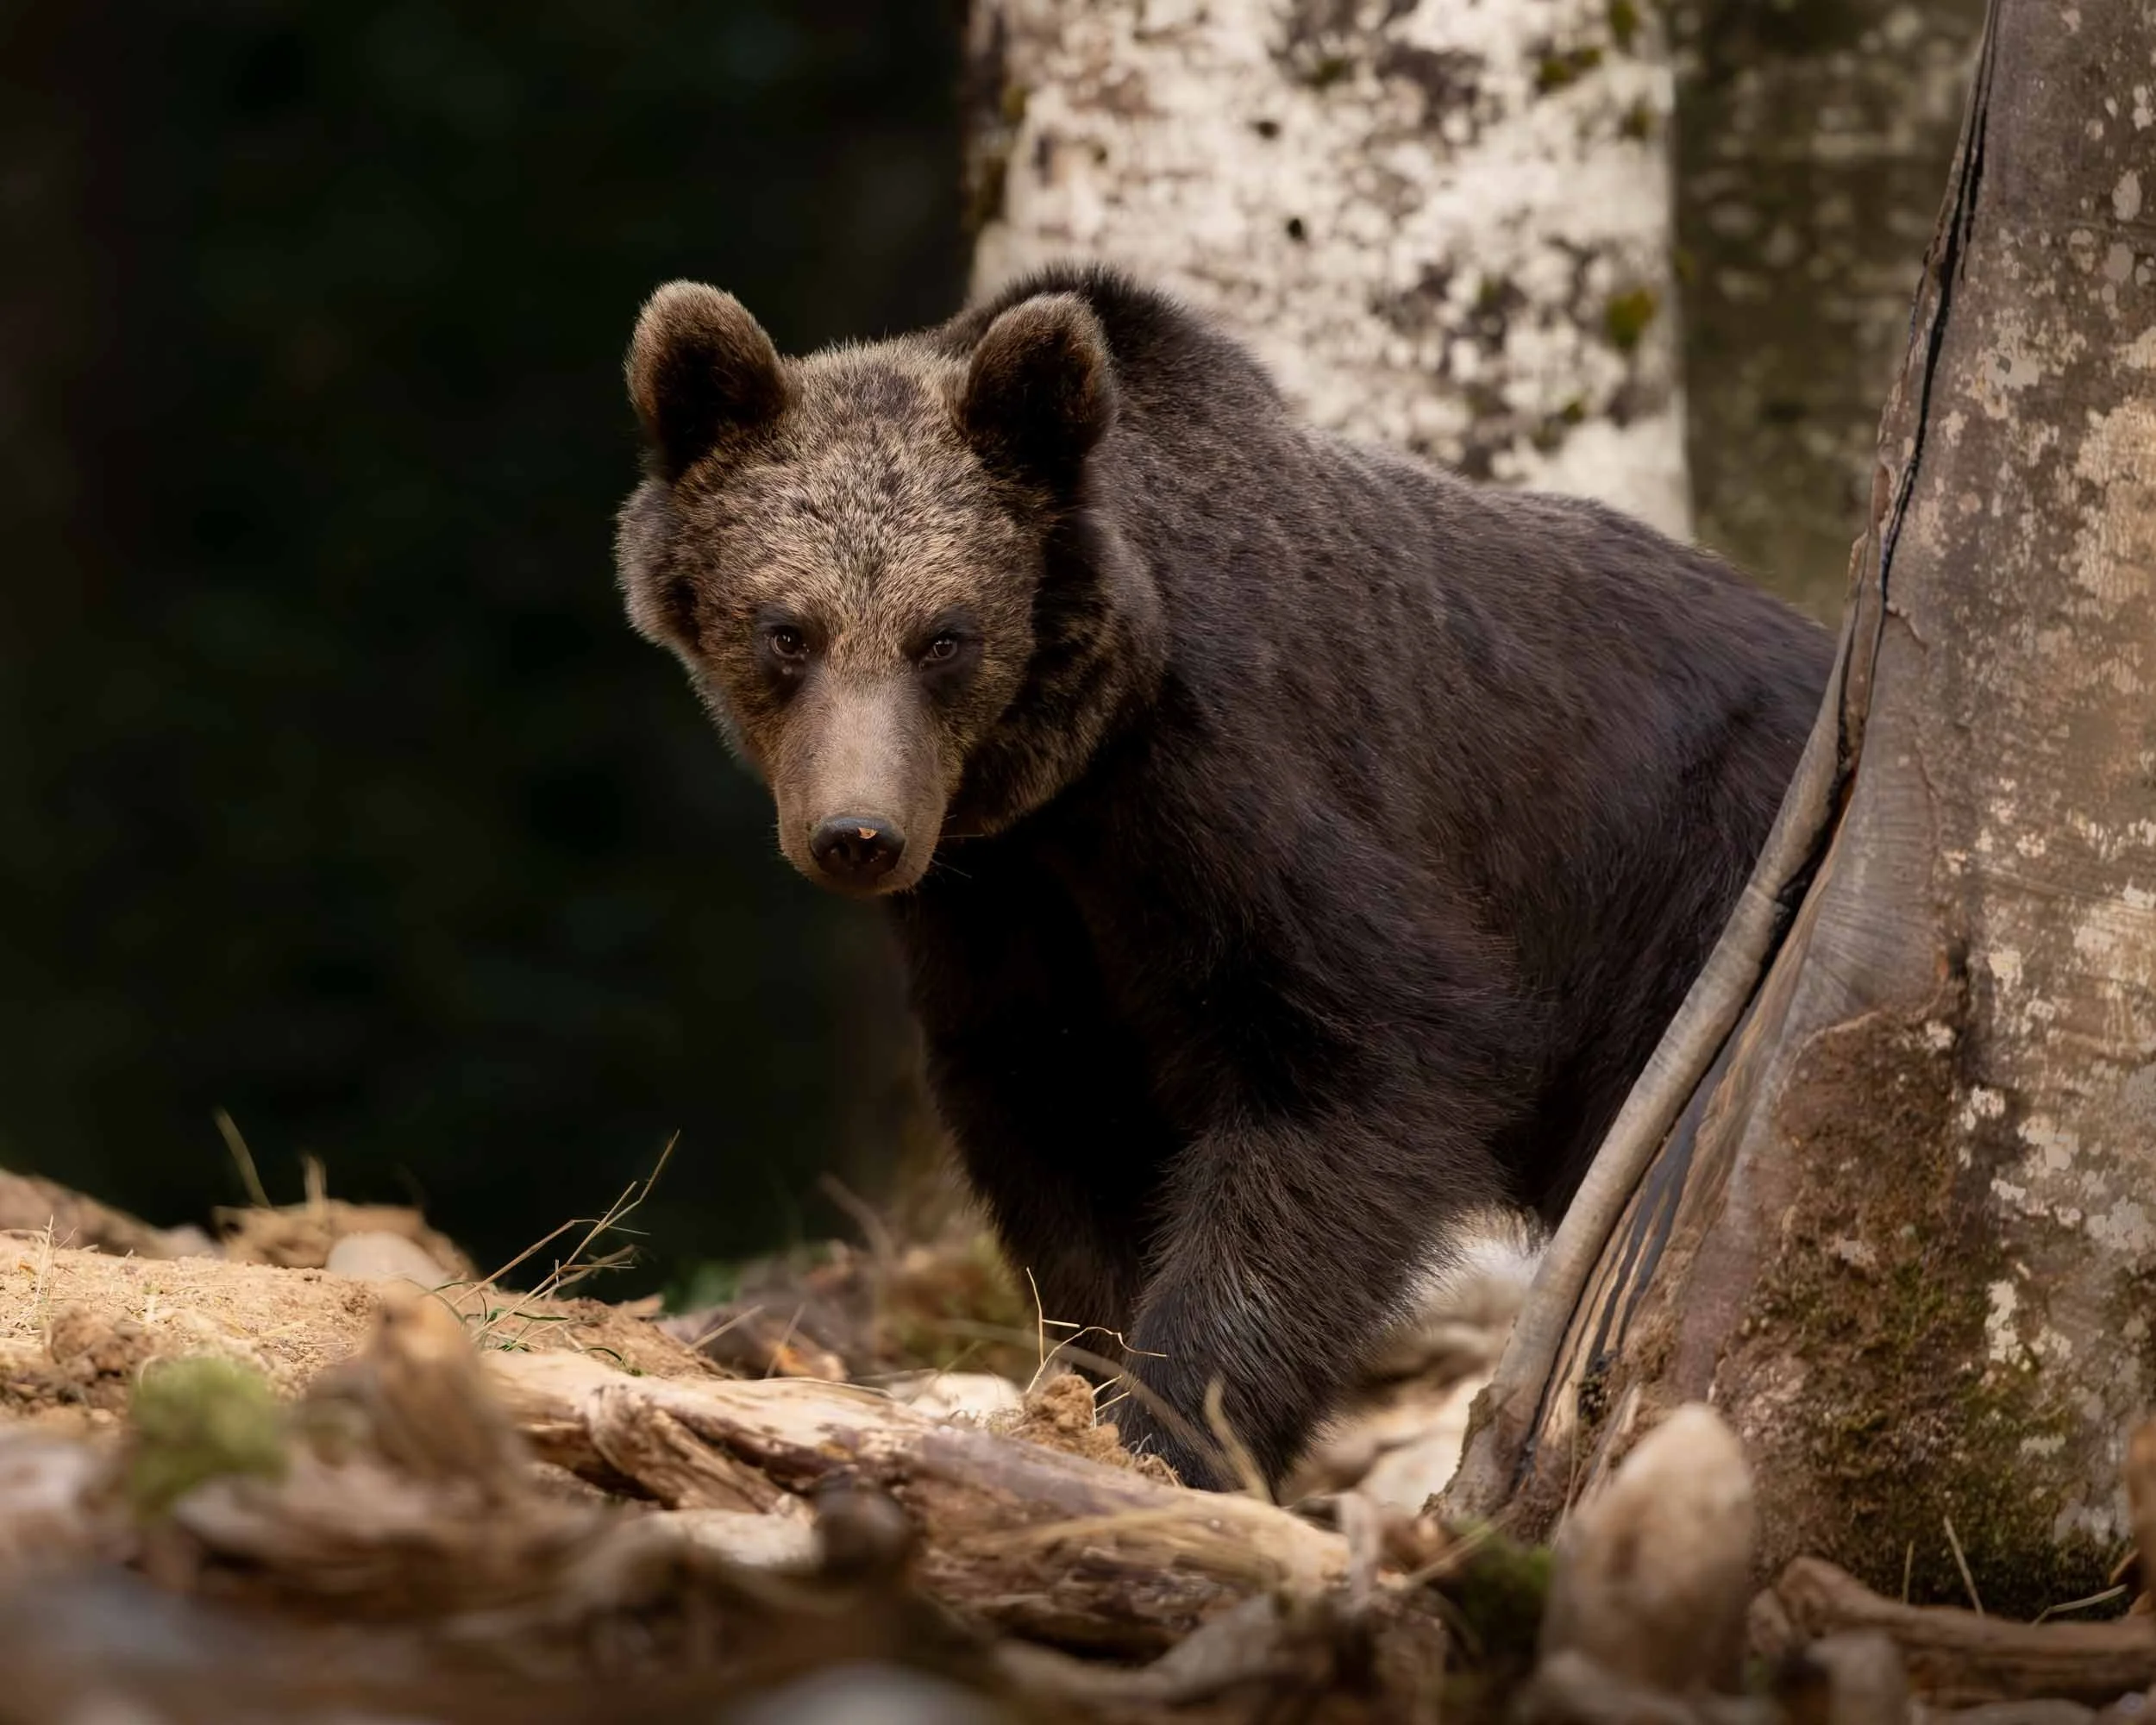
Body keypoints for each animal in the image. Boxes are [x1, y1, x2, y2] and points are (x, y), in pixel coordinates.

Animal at [614, 264, 1835, 1490]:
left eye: (944, 635)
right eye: (787, 630)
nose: (857, 833)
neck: (1072, 775)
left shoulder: (1237, 795)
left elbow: (1370, 1057)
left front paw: (1174, 1428)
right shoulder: (1000, 910)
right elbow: (1053, 1121)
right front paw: (1103, 1375)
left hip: (1703, 884)